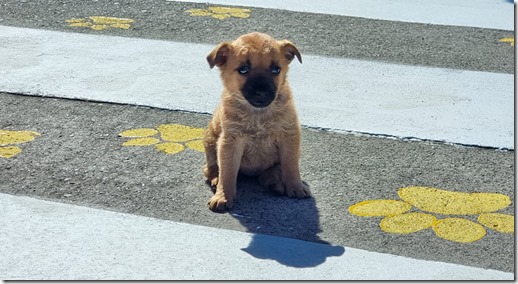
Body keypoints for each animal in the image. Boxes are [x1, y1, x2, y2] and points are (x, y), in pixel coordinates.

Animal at [204, 32, 310, 211]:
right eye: (243, 70)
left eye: (276, 69)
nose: (262, 92)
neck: (258, 115)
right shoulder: (230, 142)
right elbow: (227, 172)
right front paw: (223, 195)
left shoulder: (289, 136)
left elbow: (290, 165)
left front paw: (295, 186)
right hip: (210, 140)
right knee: (211, 167)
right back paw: (215, 178)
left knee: (271, 172)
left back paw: (275, 183)